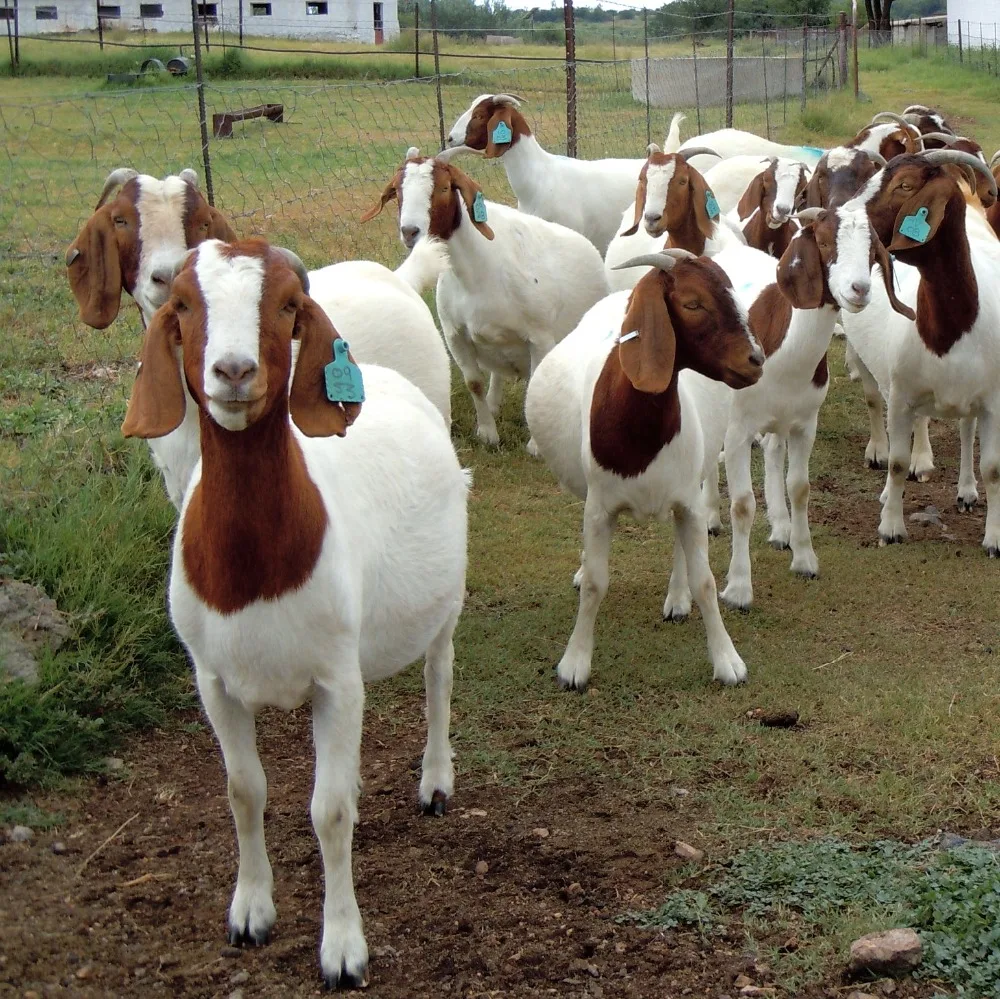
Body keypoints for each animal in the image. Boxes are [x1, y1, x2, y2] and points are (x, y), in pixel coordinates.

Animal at [121, 238, 468, 988]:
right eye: (182, 304)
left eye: (285, 305)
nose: (232, 370)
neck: (254, 572)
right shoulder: (215, 682)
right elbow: (243, 790)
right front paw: (250, 911)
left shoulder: (334, 682)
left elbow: (330, 813)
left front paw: (343, 948)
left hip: (446, 601)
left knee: (438, 678)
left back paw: (435, 779)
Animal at [362, 151, 609, 451]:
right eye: (398, 191)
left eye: (444, 188)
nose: (410, 231)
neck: (478, 273)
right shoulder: (455, 335)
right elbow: (474, 383)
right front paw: (487, 433)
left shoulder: (540, 337)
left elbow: (536, 383)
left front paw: (535, 446)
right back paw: (493, 403)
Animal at [524, 249, 765, 691]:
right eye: (692, 303)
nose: (756, 361)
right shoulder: (599, 508)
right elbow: (596, 584)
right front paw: (574, 664)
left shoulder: (688, 501)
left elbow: (705, 581)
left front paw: (727, 660)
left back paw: (677, 598)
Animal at [841, 150, 1000, 551]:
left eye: (905, 185)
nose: (843, 218)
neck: (949, 330)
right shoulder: (901, 395)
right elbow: (897, 462)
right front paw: (891, 527)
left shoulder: (993, 401)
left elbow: (992, 468)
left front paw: (994, 537)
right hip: (874, 367)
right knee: (878, 403)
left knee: (965, 428)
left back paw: (966, 491)